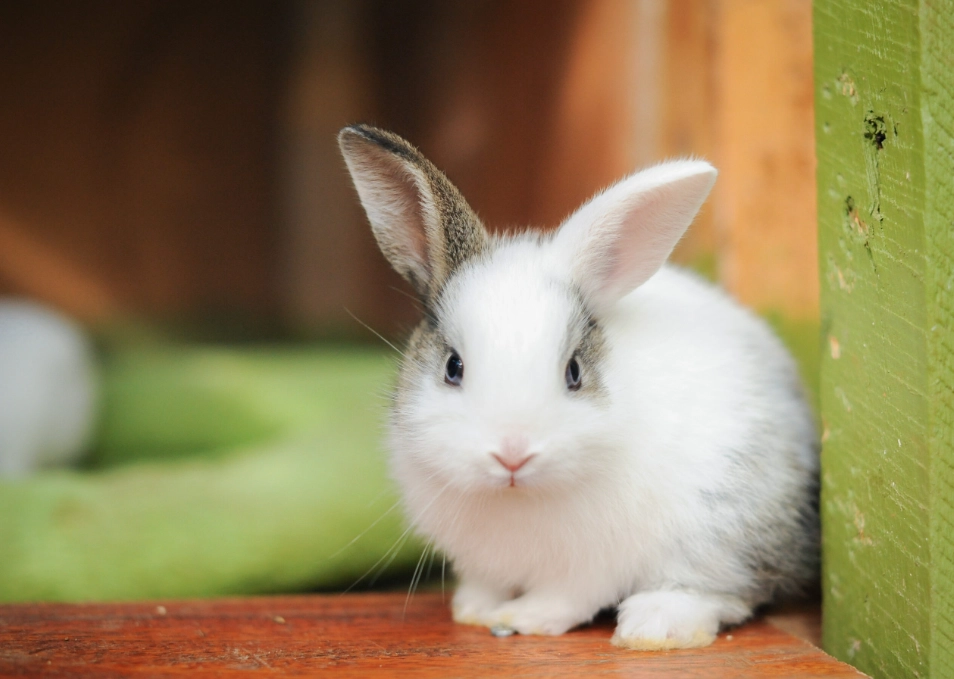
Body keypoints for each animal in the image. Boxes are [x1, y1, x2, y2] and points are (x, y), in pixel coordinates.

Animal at [338, 124, 818, 649]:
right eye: (453, 366)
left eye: (573, 372)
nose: (512, 454)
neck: (517, 497)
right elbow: (486, 584)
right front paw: (473, 611)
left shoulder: (591, 567)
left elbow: (566, 598)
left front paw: (523, 618)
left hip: (724, 527)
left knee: (725, 589)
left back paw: (654, 626)